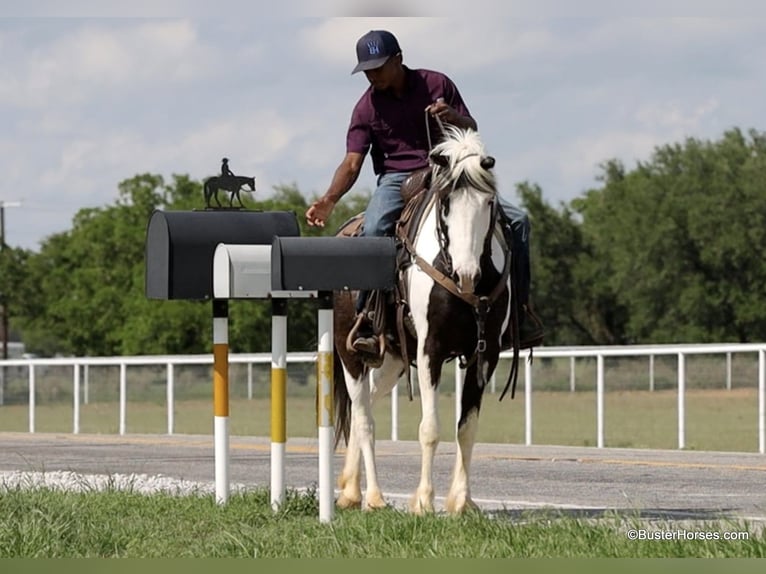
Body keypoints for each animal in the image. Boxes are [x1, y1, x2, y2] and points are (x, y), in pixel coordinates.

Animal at [332, 126, 519, 514]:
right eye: (445, 202)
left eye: (489, 203)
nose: (466, 274)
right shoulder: (430, 349)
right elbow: (430, 429)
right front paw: (423, 502)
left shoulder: (486, 353)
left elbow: (467, 427)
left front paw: (462, 502)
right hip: (349, 352)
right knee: (364, 418)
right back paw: (373, 497)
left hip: (391, 360)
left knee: (364, 408)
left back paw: (350, 491)